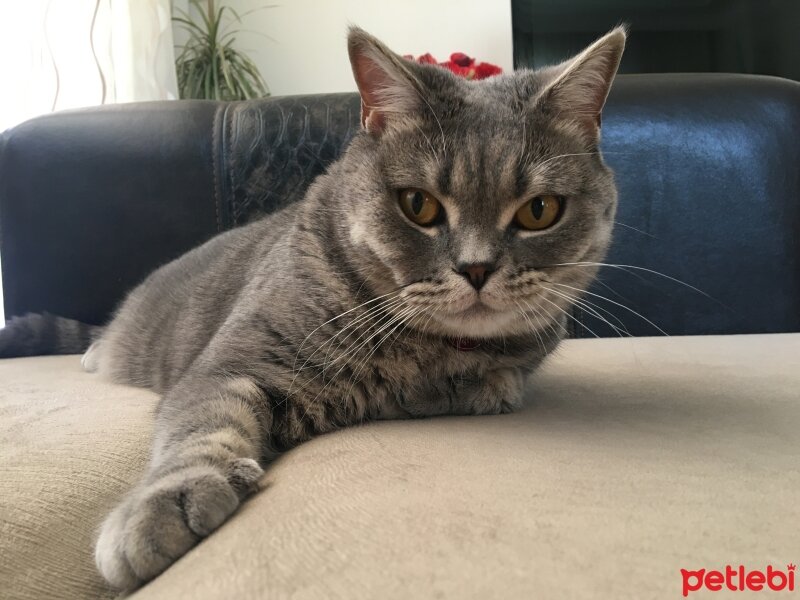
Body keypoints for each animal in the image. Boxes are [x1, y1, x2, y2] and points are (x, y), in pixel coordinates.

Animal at [0, 25, 624, 588]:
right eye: (418, 205)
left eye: (540, 210)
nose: (476, 269)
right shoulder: (230, 363)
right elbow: (203, 425)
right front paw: (161, 505)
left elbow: (493, 381)